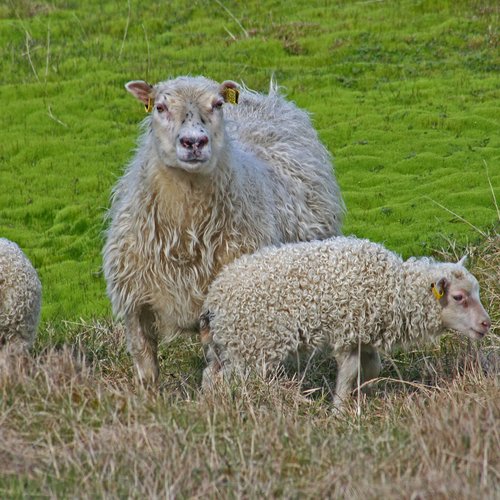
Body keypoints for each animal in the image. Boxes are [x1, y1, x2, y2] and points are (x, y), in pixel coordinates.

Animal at [103, 76, 346, 384]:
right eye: (160, 107)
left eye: (217, 104)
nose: (194, 142)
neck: (186, 238)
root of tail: (264, 96)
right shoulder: (134, 302)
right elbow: (145, 365)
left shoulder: (220, 305)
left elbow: (215, 368)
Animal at [201, 237, 490, 406]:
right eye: (458, 297)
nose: (486, 324)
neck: (394, 288)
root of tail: (214, 297)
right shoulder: (349, 334)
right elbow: (349, 372)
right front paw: (340, 408)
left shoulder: (365, 334)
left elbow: (372, 368)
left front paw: (367, 393)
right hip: (251, 346)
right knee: (225, 381)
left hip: (228, 346)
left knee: (210, 375)